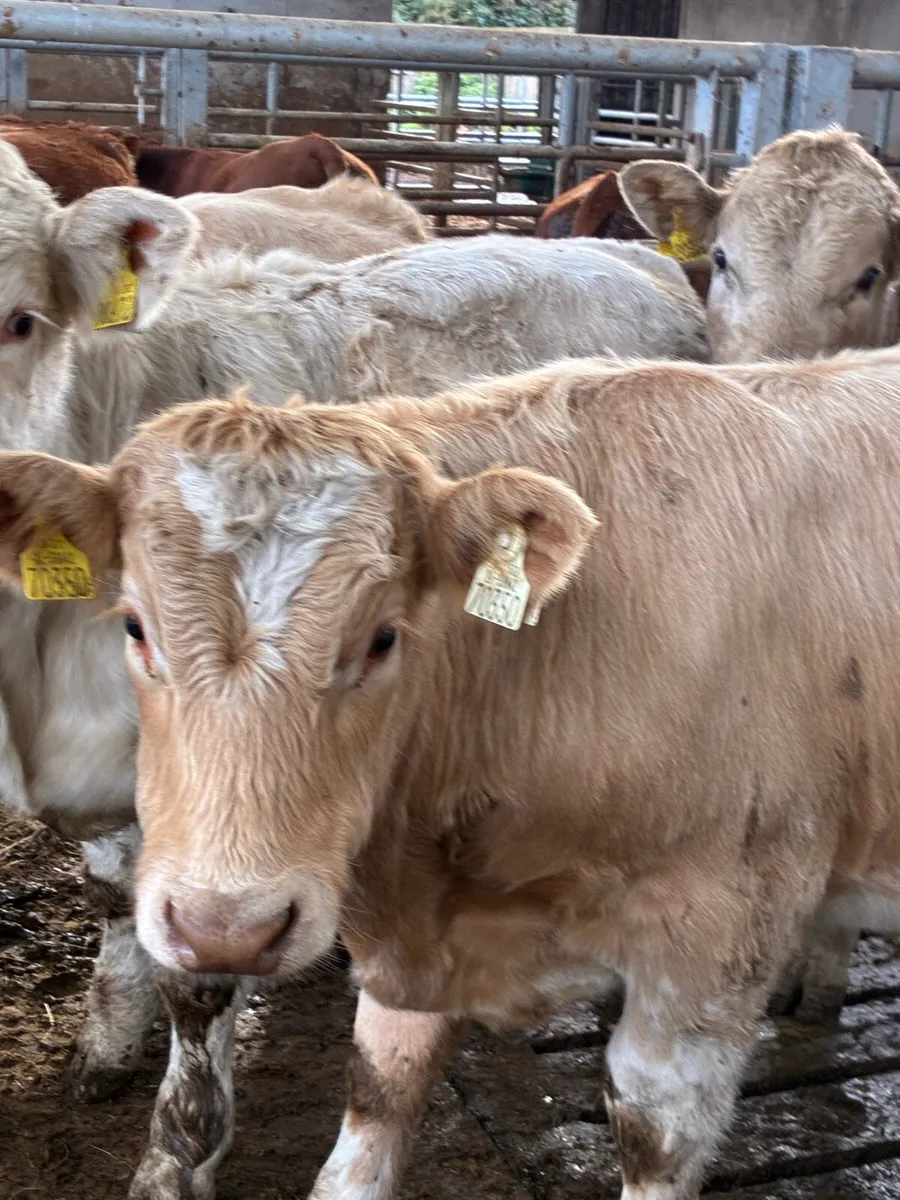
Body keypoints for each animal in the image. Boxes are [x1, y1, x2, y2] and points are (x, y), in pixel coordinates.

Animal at [5, 347, 900, 1200]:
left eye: (383, 638)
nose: (227, 930)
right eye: (133, 625)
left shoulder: (720, 934)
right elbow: (374, 1106)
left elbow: (657, 1132)